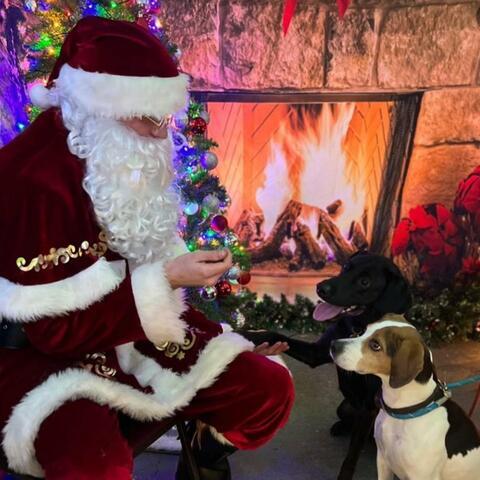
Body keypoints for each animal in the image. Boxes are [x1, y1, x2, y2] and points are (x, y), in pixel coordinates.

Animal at [242, 251, 410, 480]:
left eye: (365, 282)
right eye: (346, 267)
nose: (320, 287)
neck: (356, 330)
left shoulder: (369, 407)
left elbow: (351, 457)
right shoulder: (316, 353)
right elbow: (275, 334)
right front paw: (249, 333)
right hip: (345, 407)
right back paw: (340, 427)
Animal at [330, 316, 480, 480]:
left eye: (375, 345)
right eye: (363, 331)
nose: (333, 345)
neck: (403, 410)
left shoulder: (421, 476)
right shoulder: (383, 460)